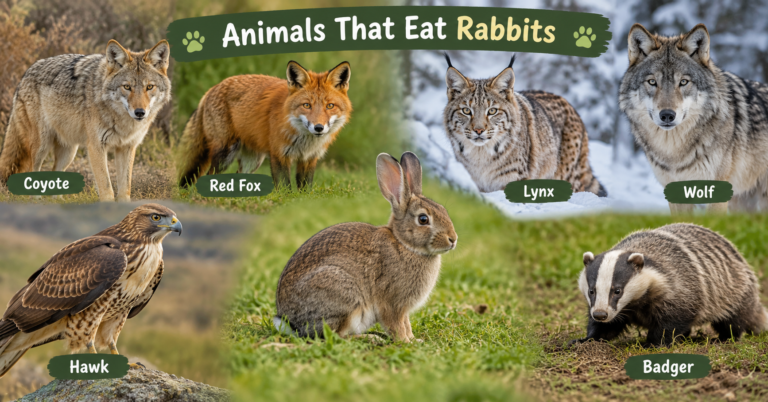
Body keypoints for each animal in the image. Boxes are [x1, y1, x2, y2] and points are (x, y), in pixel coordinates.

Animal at [273, 151, 457, 342]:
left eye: (443, 210)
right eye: (423, 219)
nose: (453, 239)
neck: (404, 245)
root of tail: (291, 323)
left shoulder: (403, 309)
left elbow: (406, 324)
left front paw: (414, 339)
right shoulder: (392, 303)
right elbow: (396, 324)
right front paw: (405, 342)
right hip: (343, 295)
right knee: (336, 335)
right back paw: (371, 338)